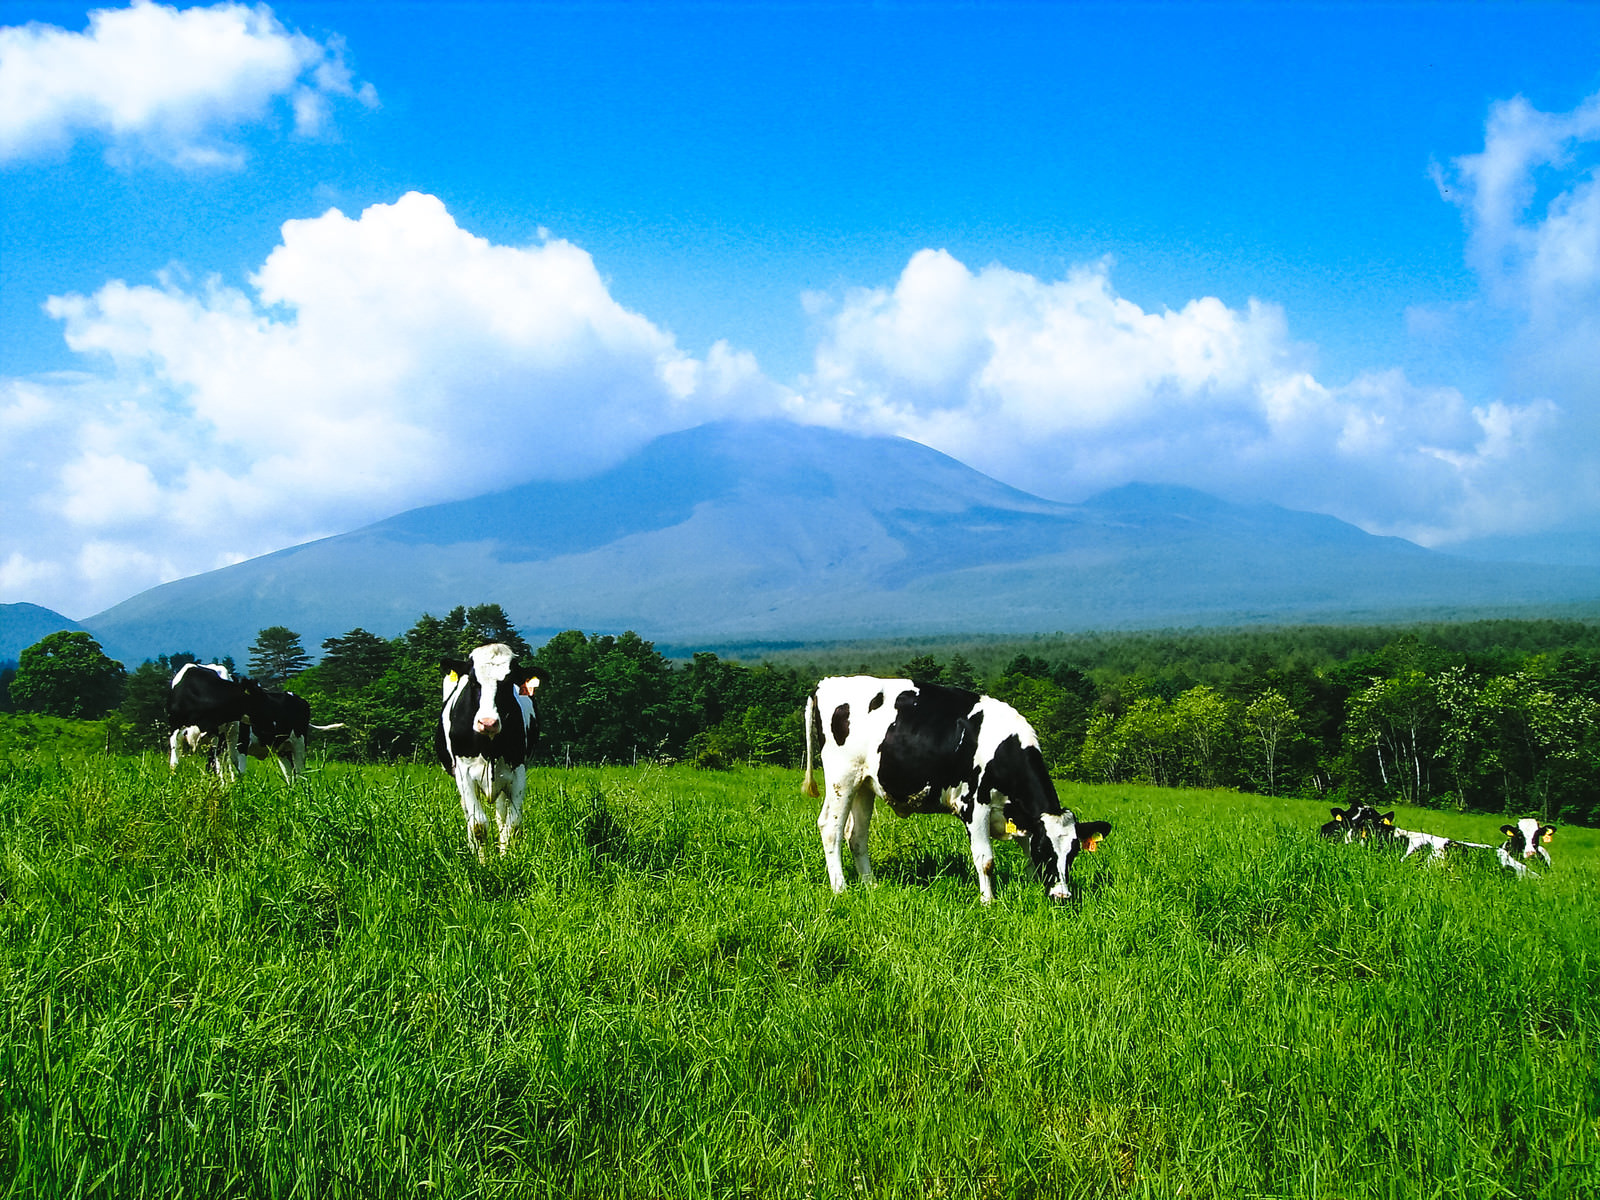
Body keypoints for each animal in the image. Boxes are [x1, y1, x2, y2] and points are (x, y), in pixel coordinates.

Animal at [435, 643, 547, 857]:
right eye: (472, 681)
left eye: (509, 682)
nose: (488, 722)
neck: (489, 746)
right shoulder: (464, 773)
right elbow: (478, 824)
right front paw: (482, 862)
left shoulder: (517, 770)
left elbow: (513, 824)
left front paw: (507, 859)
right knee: (469, 814)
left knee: (501, 815)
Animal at [800, 678, 1113, 902]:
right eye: (1045, 849)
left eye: (1073, 853)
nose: (1062, 896)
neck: (1005, 749)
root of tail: (827, 683)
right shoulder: (975, 805)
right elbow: (985, 860)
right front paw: (989, 902)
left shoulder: (1021, 816)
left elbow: (1026, 859)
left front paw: (1033, 888)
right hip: (841, 777)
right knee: (831, 827)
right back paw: (840, 888)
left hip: (864, 783)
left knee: (856, 835)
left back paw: (870, 885)